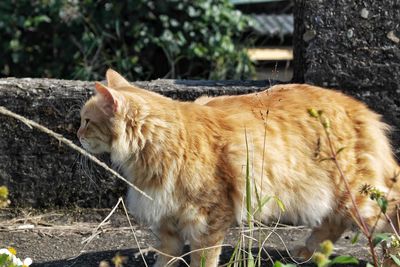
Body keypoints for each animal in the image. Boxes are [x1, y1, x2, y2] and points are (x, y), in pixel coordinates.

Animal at [78, 69, 400, 267]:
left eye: (87, 121)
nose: (77, 134)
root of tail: (362, 109)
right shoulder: (168, 222)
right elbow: (166, 258)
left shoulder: (207, 218)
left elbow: (203, 258)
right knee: (332, 223)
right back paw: (309, 252)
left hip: (356, 195)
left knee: (388, 217)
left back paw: (387, 258)